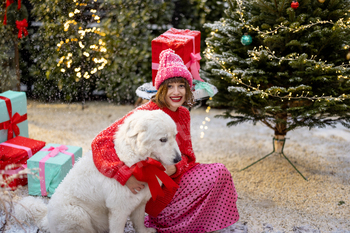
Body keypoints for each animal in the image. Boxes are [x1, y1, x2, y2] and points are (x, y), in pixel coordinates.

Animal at [15, 110, 182, 233]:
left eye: (175, 136)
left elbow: (139, 223)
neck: (137, 160)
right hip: (77, 214)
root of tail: (47, 219)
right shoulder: (118, 210)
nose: (179, 159)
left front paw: (145, 231)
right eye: (162, 139)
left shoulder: (139, 203)